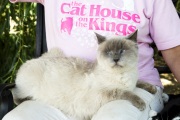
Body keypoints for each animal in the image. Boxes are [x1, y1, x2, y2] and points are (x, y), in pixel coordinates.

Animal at [11, 31, 157, 120]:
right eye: (109, 52)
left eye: (122, 51)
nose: (115, 59)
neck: (124, 75)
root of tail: (33, 60)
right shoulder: (107, 92)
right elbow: (125, 93)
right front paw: (141, 103)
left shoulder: (133, 82)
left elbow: (140, 82)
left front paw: (153, 89)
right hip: (28, 88)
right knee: (15, 95)